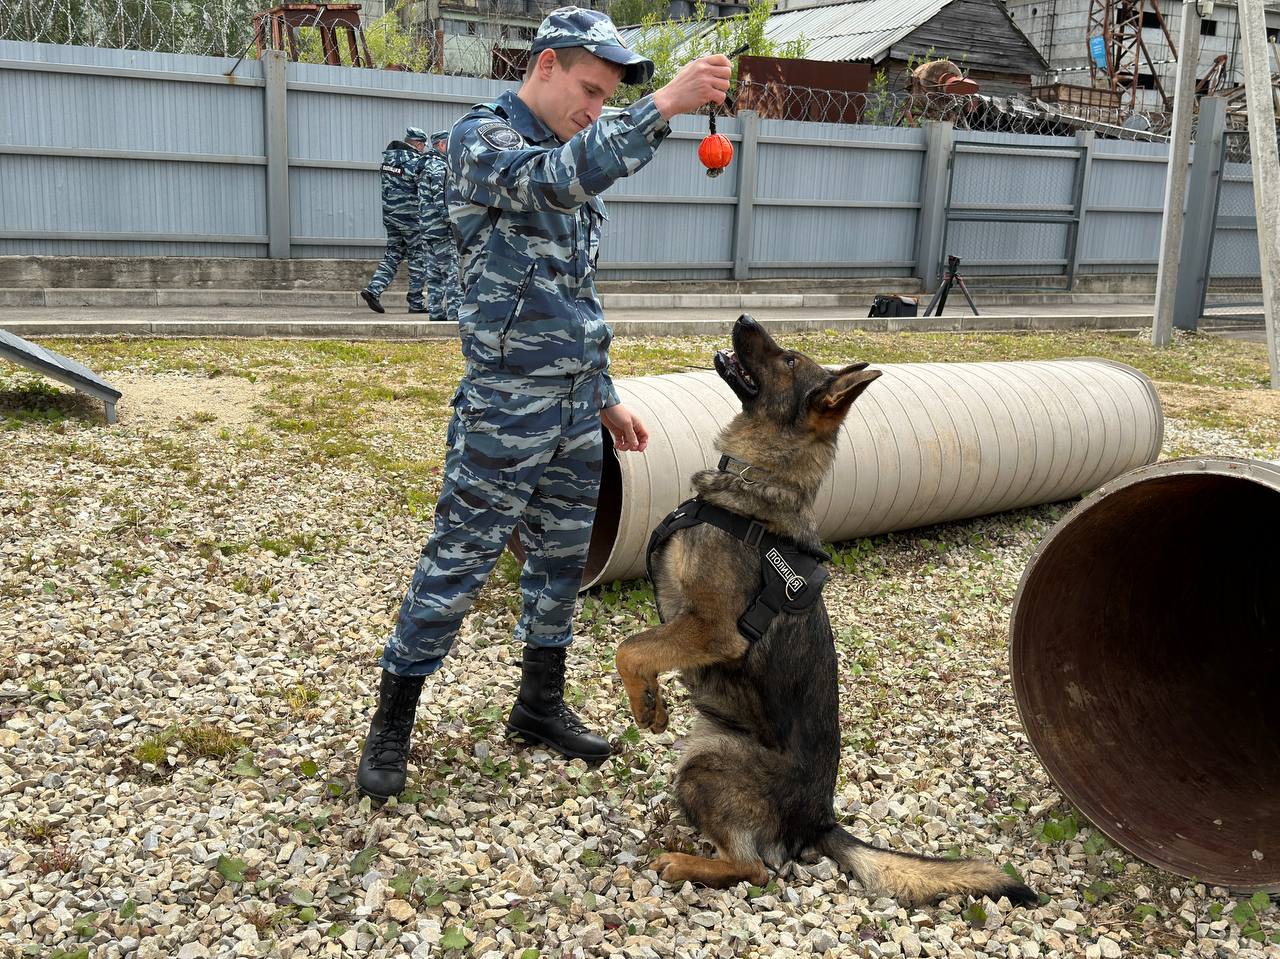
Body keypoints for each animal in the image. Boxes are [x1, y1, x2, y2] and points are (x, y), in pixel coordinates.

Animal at [614, 316, 1034, 906]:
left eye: (789, 360)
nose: (744, 320)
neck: (756, 480)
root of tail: (820, 821)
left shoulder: (712, 629)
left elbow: (629, 648)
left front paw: (642, 704)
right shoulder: (685, 626)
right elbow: (642, 650)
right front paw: (653, 702)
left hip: (705, 762)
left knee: (755, 870)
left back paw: (683, 862)